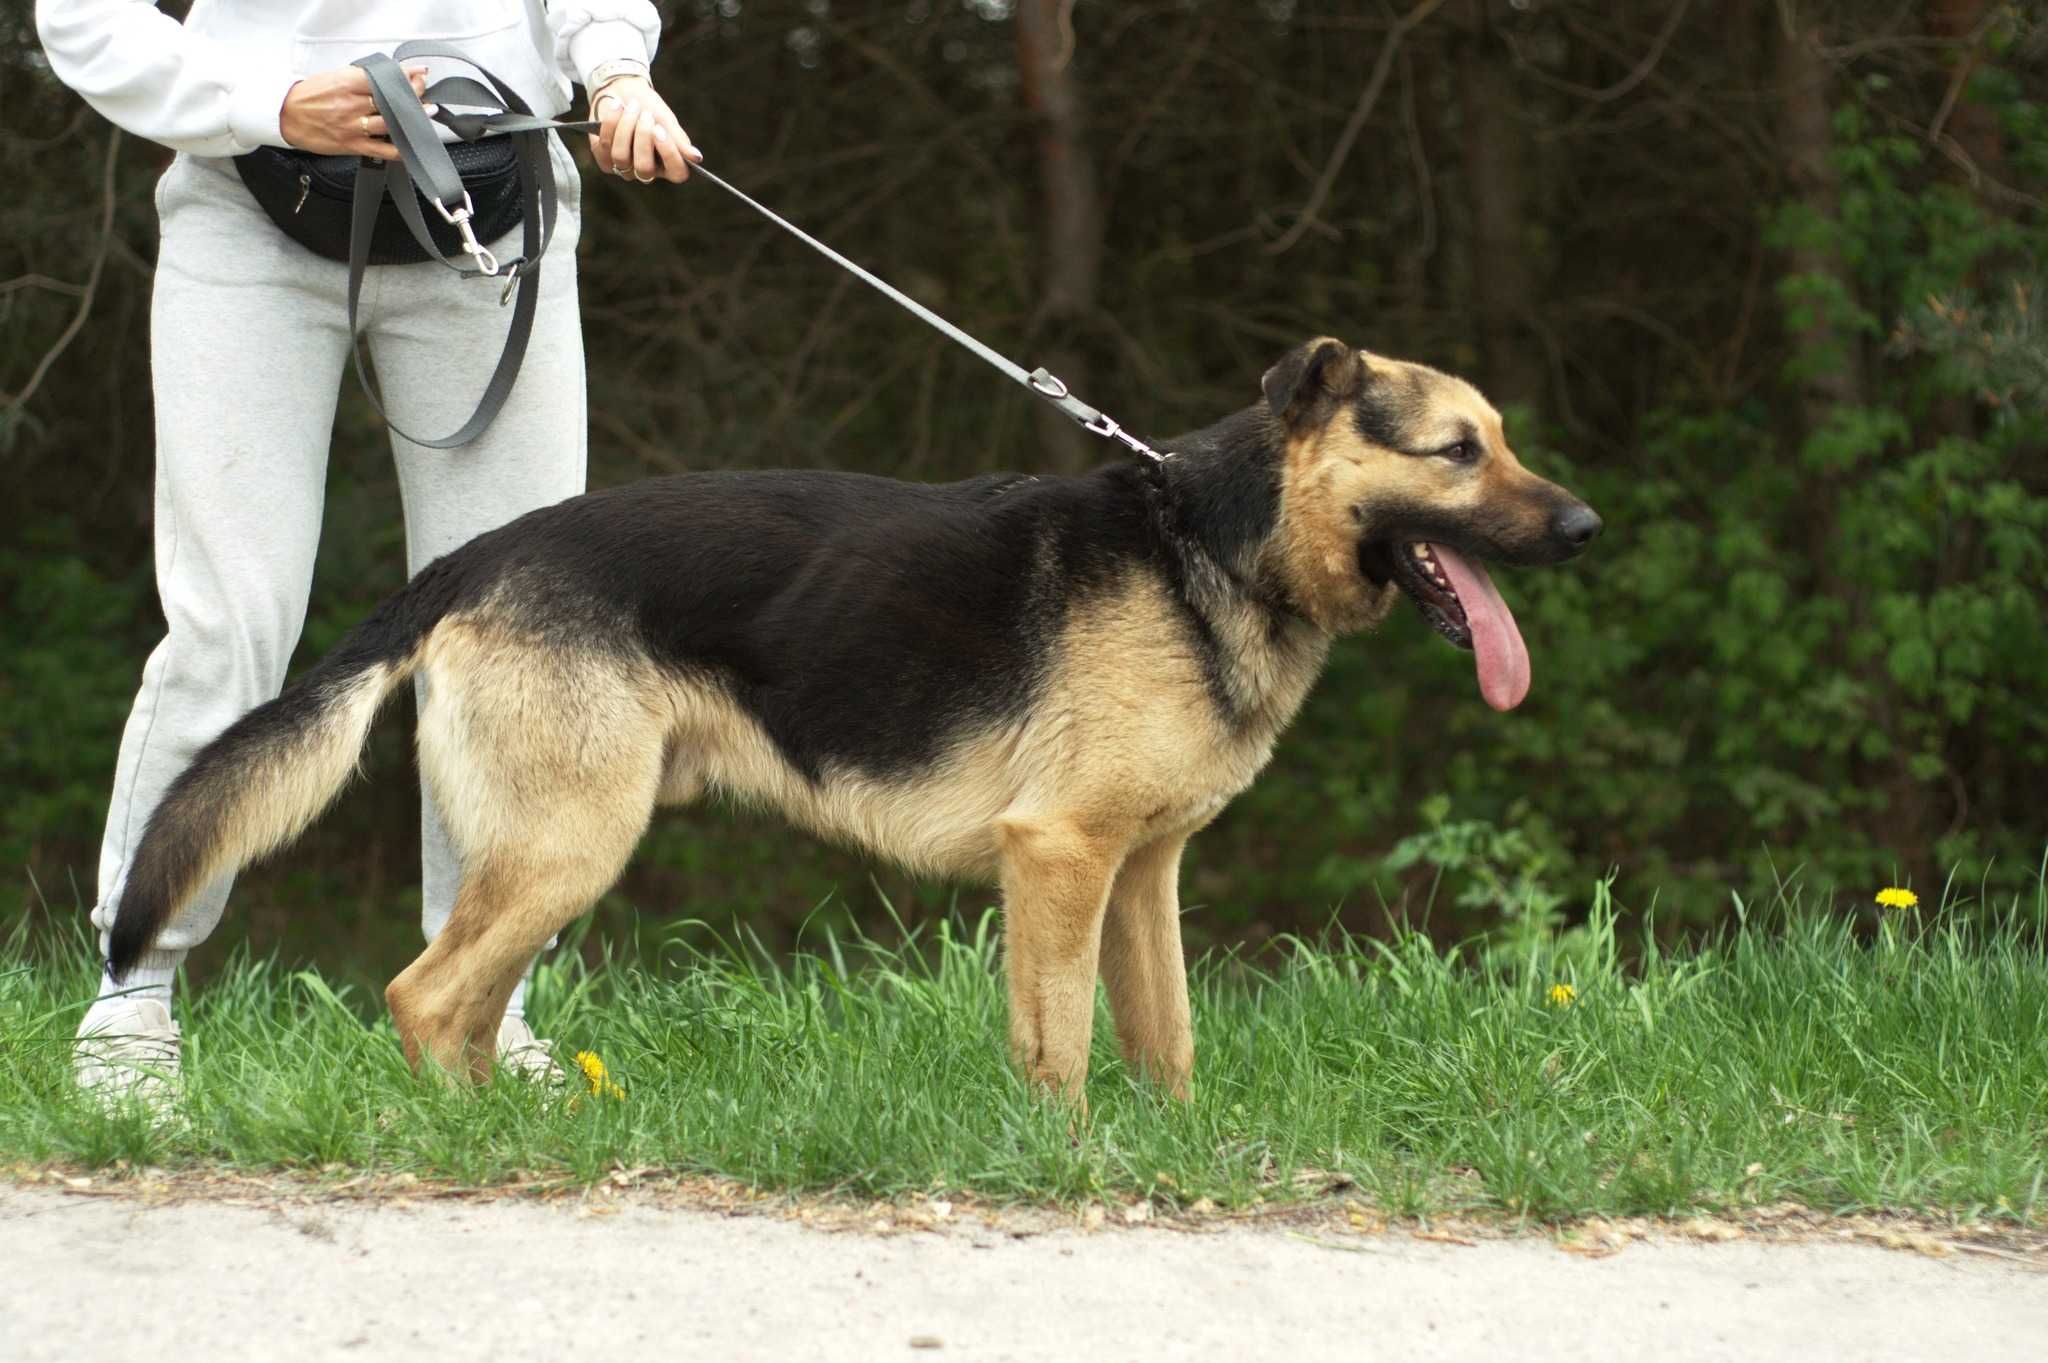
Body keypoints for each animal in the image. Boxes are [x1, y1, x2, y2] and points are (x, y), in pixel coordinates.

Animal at [108, 337, 1597, 1096]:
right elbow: (1059, 1045)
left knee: (462, 1009)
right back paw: (466, 1149)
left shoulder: (1140, 874)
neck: (1212, 543)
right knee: (422, 996)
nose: (1587, 528)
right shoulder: (1058, 859)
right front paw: (1071, 1163)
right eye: (1456, 452)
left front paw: (1176, 1154)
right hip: (568, 844)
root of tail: (474, 559)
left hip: (545, 855)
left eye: (1505, 440)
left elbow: (1163, 1036)